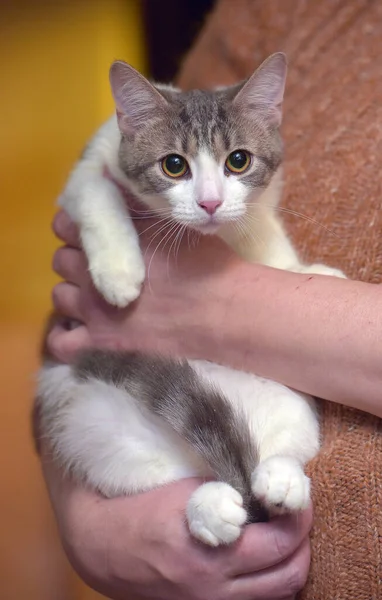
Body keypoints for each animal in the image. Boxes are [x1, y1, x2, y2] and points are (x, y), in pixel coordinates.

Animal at [34, 54, 344, 548]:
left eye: (238, 160)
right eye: (174, 166)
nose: (211, 203)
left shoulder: (254, 213)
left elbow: (266, 239)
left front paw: (305, 271)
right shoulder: (90, 165)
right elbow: (96, 191)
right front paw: (119, 270)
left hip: (286, 401)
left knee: (281, 446)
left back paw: (280, 480)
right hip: (96, 428)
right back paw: (211, 508)